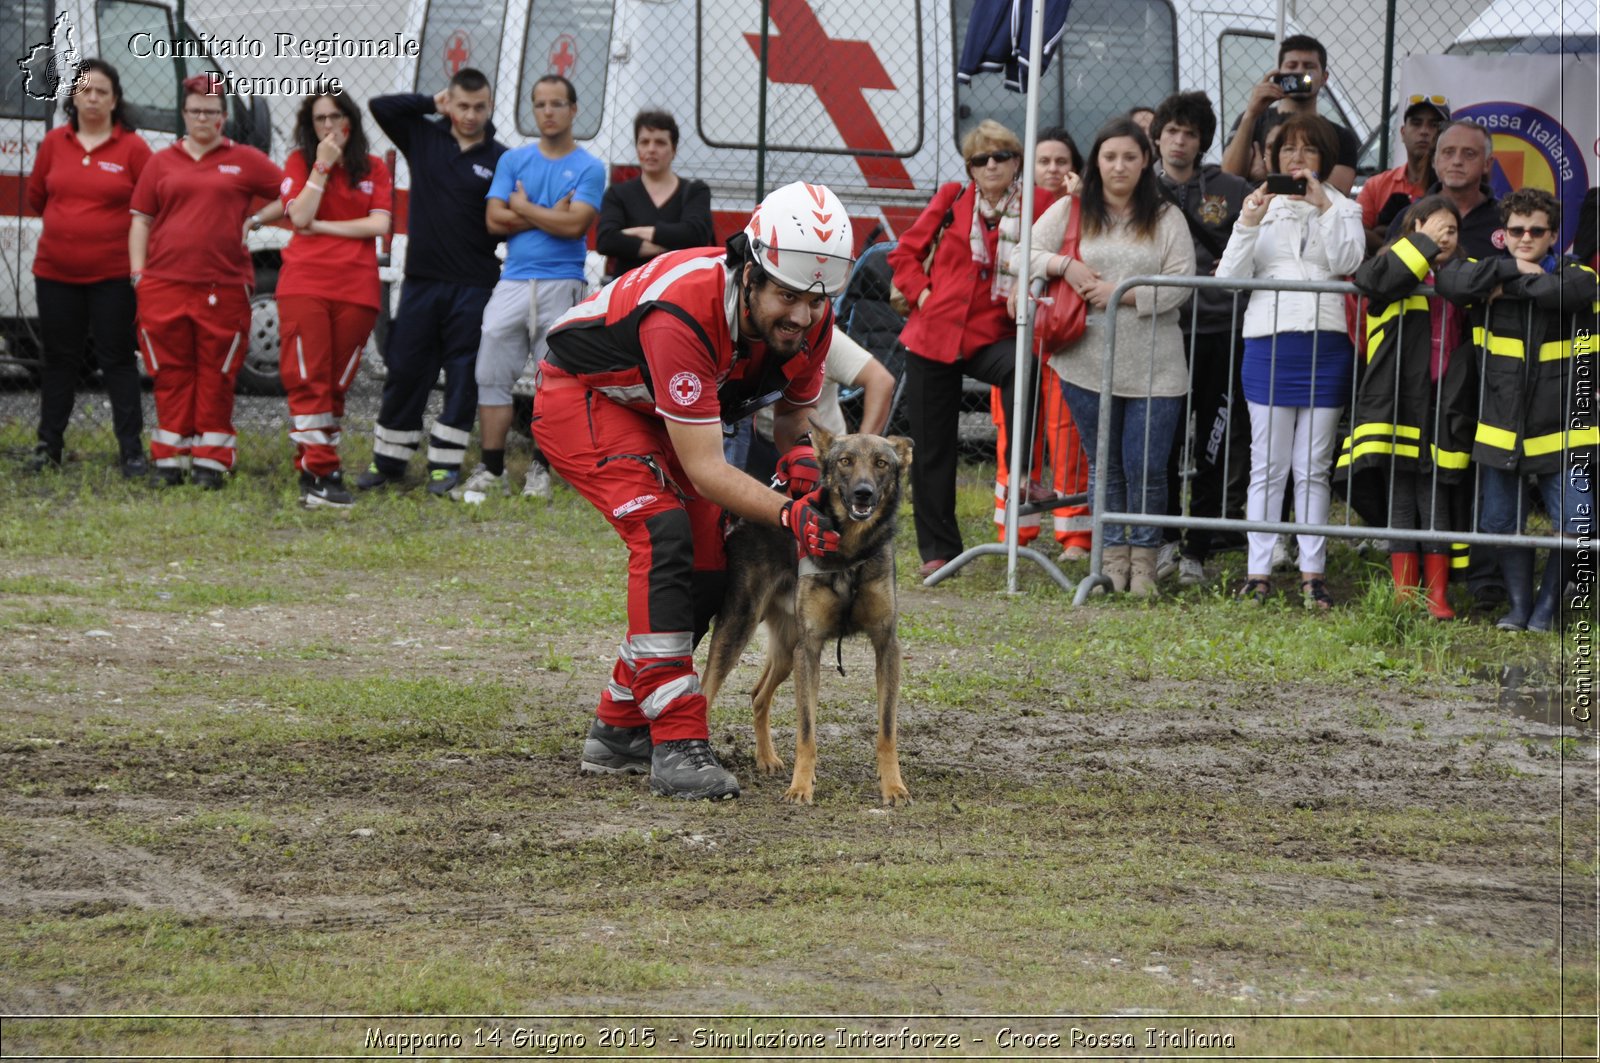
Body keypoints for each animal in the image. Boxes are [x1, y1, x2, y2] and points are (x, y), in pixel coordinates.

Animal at [704, 429, 915, 800]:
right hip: (740, 628)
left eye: (881, 463)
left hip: (787, 651)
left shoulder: (885, 645)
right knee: (702, 694)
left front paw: (893, 786)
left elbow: (887, 730)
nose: (863, 492)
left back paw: (767, 758)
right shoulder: (811, 648)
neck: (850, 553)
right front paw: (801, 787)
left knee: (758, 696)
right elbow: (806, 730)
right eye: (845, 461)